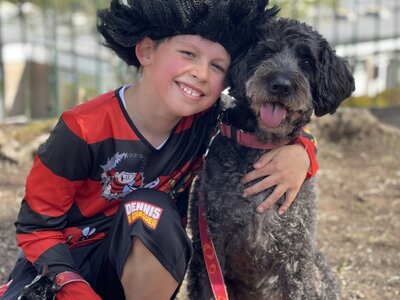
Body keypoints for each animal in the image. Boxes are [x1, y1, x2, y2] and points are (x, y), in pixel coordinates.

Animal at [186, 17, 354, 300]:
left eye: (306, 61)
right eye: (265, 52)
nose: (281, 85)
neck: (263, 145)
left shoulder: (296, 257)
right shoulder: (209, 248)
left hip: (319, 270)